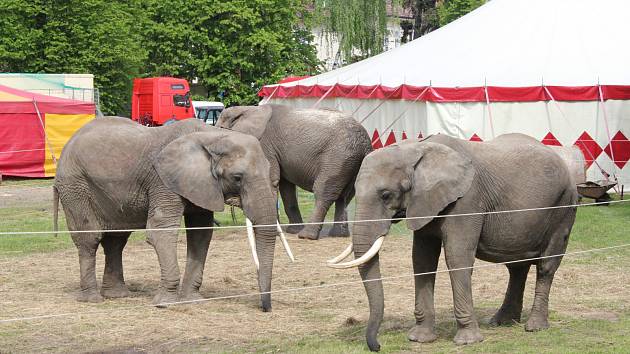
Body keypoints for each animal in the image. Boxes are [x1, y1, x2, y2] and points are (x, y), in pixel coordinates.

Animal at [53, 117, 280, 310]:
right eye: (237, 178)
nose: (265, 308)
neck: (213, 135)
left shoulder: (202, 184)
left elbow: (201, 233)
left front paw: (192, 300)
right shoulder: (162, 181)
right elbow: (161, 231)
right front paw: (166, 304)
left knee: (116, 240)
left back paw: (117, 295)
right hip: (74, 186)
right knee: (89, 238)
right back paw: (92, 299)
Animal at [218, 103, 376, 239]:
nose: (232, 199)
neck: (248, 109)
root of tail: (365, 142)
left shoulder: (264, 145)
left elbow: (270, 179)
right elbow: (286, 187)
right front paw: (291, 231)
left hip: (337, 158)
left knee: (323, 191)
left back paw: (307, 236)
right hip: (353, 162)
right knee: (345, 196)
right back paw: (338, 235)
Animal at [328, 133, 580, 352]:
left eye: (386, 195)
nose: (377, 346)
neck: (416, 149)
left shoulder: (466, 201)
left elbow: (457, 257)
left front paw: (467, 341)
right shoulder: (424, 203)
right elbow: (422, 260)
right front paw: (419, 339)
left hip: (564, 206)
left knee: (546, 265)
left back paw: (534, 327)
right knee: (516, 266)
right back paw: (502, 322)